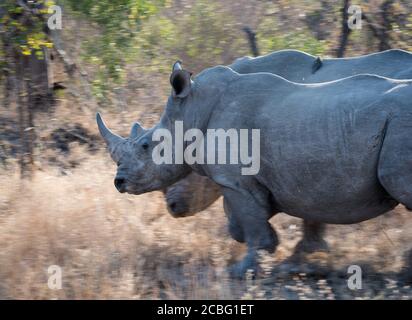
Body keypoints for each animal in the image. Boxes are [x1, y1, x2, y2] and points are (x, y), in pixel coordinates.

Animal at [98, 60, 412, 278]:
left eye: (145, 145)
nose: (118, 182)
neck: (192, 112)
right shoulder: (247, 181)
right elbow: (246, 221)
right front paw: (279, 251)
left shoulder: (235, 181)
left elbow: (249, 222)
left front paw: (242, 271)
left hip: (400, 125)